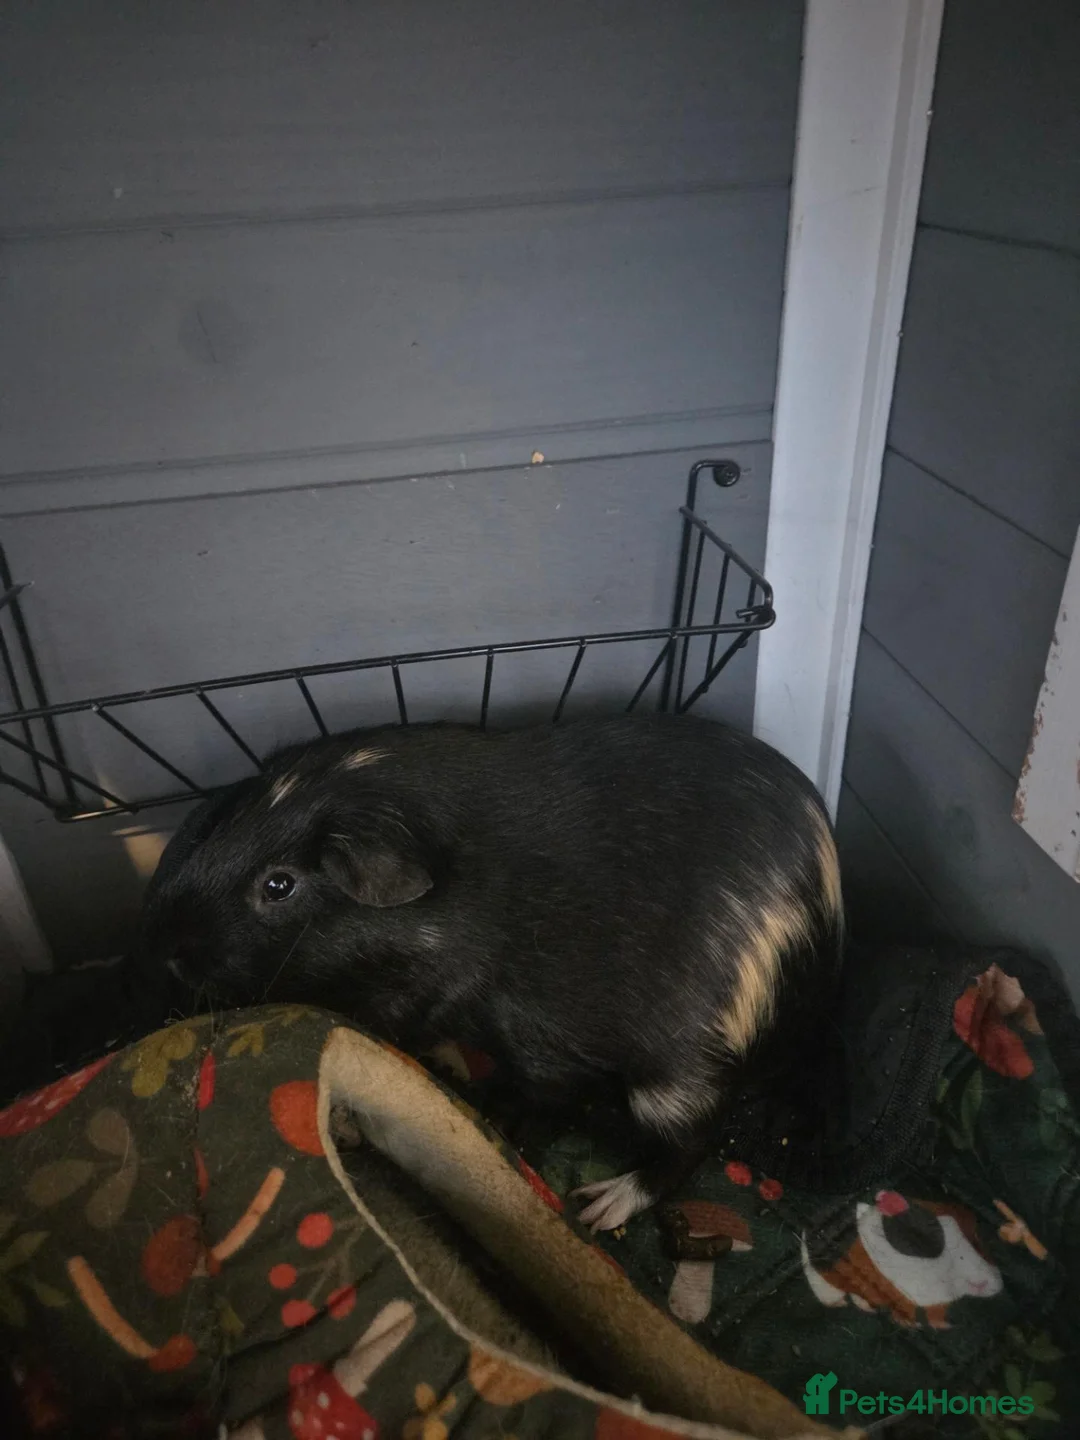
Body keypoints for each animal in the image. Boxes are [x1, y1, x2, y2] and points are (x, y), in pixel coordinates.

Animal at [137, 714, 843, 1231]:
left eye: (278, 885)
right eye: (222, 827)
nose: (164, 943)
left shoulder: (506, 1025)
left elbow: (532, 1087)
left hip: (676, 1077)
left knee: (688, 1144)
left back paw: (601, 1206)